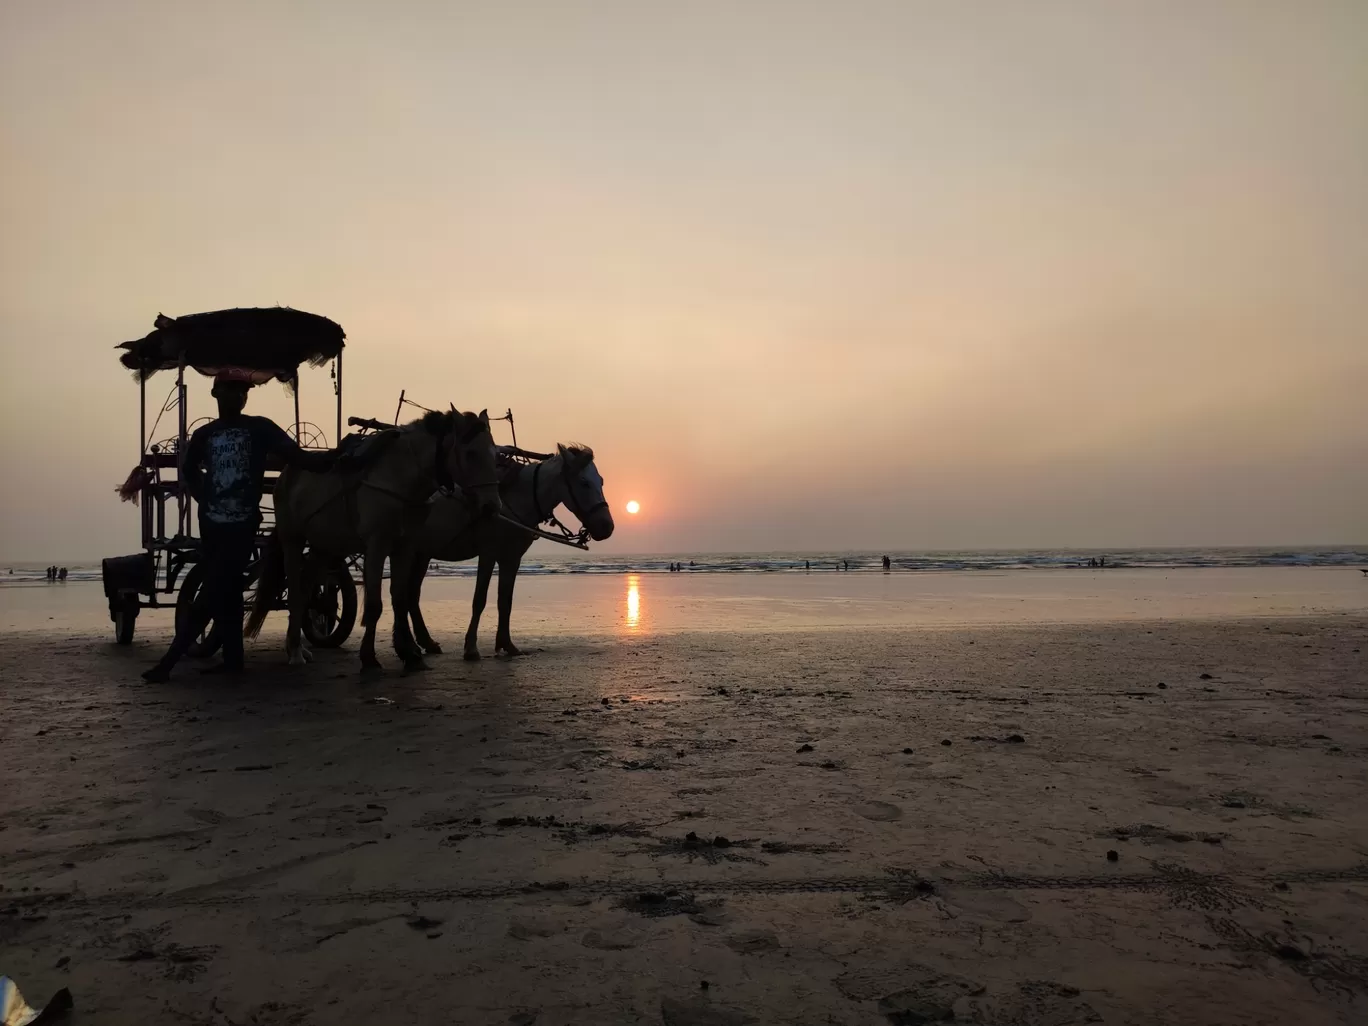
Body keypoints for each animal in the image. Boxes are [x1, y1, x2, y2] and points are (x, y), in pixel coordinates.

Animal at [247, 410, 503, 675]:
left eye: (496, 455)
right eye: (470, 453)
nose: (491, 506)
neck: (400, 476)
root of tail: (287, 473)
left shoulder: (406, 546)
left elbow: (400, 598)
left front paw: (410, 654)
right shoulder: (377, 544)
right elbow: (374, 605)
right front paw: (369, 659)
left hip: (325, 546)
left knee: (305, 587)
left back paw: (296, 647)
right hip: (293, 539)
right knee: (296, 589)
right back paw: (296, 652)